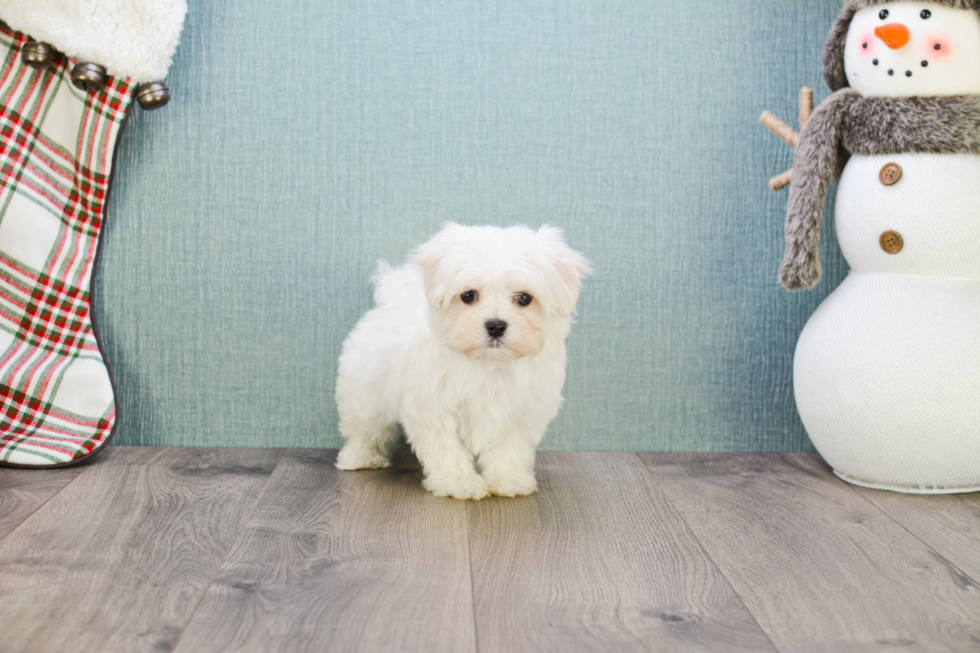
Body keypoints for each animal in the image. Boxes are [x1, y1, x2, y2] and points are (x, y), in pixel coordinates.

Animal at [334, 224, 592, 500]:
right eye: (468, 295)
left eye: (524, 298)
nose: (496, 325)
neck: (488, 363)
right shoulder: (434, 407)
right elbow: (446, 446)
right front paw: (458, 482)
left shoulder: (524, 410)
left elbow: (510, 447)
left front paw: (507, 480)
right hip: (364, 388)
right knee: (364, 426)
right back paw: (361, 457)